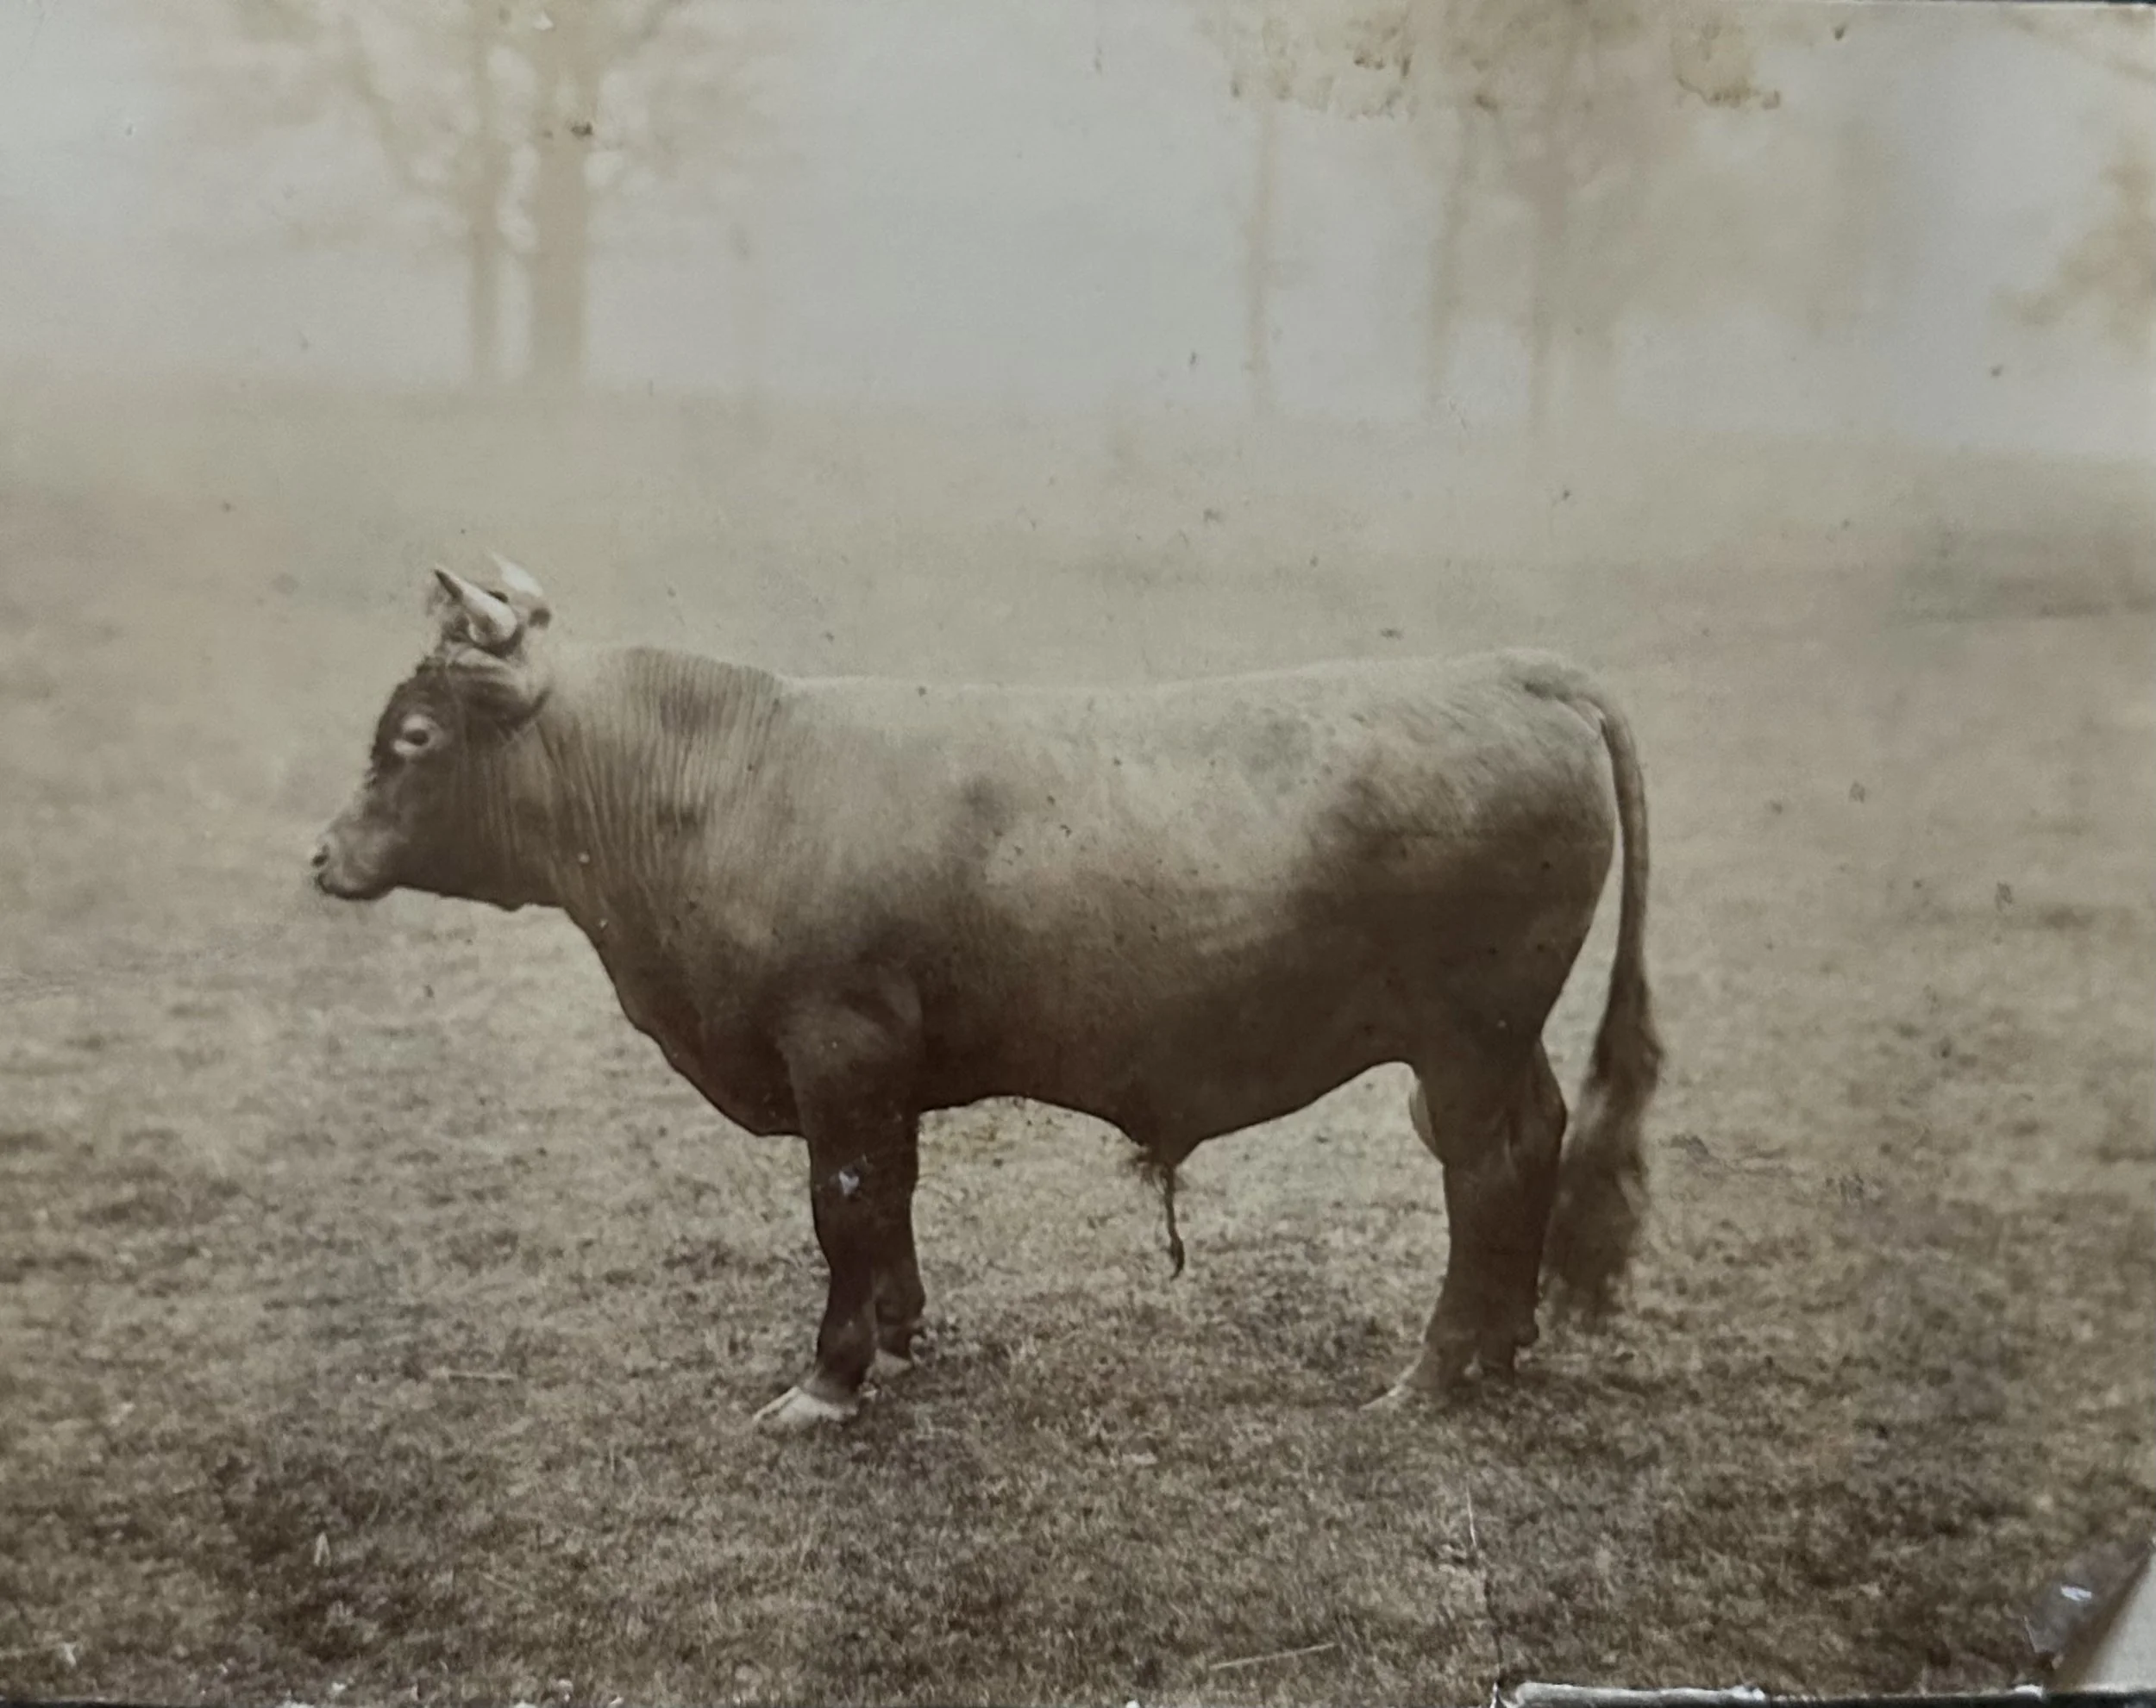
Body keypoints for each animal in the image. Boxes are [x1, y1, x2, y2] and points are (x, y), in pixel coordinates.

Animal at [311, 559, 1662, 1430]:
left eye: (416, 736)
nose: (322, 854)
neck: (720, 783)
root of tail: (1516, 671)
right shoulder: (880, 1066)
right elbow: (892, 1197)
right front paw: (903, 1336)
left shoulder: (837, 1045)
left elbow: (845, 1204)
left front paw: (828, 1380)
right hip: (1501, 1033)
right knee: (1536, 1136)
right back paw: (1506, 1344)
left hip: (1468, 1030)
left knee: (1484, 1167)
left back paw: (1433, 1372)